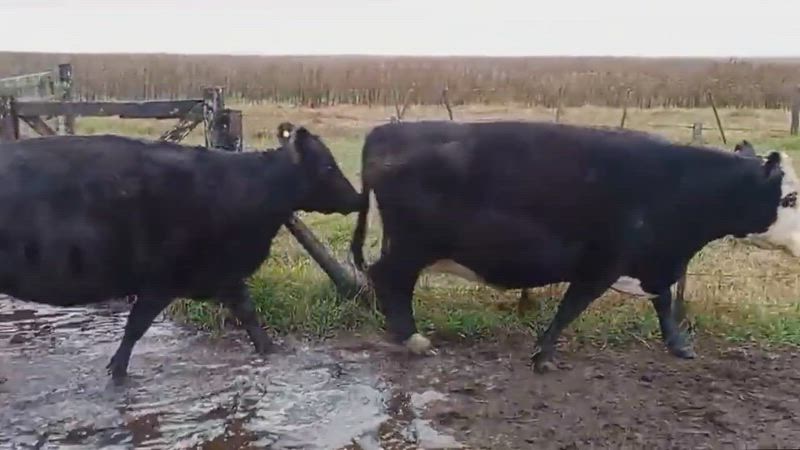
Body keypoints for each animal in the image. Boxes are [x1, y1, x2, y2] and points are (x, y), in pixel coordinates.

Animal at [0, 125, 361, 381]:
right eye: (328, 167)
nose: (357, 198)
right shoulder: (162, 280)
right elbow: (134, 330)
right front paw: (116, 373)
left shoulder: (225, 273)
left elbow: (249, 315)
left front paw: (272, 352)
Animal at [349, 120, 800, 373]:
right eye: (791, 198)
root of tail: (386, 130)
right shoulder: (602, 263)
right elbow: (572, 308)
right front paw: (543, 356)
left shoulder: (653, 260)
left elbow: (664, 301)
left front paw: (679, 347)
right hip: (410, 246)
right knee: (388, 280)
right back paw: (411, 339)